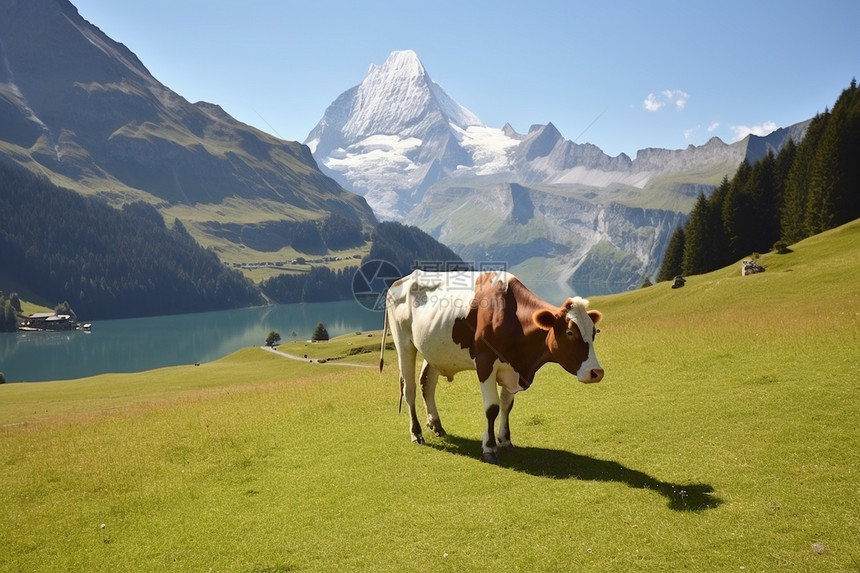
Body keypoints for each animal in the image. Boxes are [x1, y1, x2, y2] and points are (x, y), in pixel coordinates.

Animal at [380, 270, 600, 462]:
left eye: (594, 332)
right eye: (570, 332)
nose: (596, 372)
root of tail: (398, 282)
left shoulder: (512, 368)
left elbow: (506, 405)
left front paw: (505, 440)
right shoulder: (485, 363)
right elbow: (492, 408)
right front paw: (489, 447)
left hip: (433, 349)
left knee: (427, 384)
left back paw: (436, 426)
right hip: (404, 344)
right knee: (409, 389)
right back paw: (416, 433)